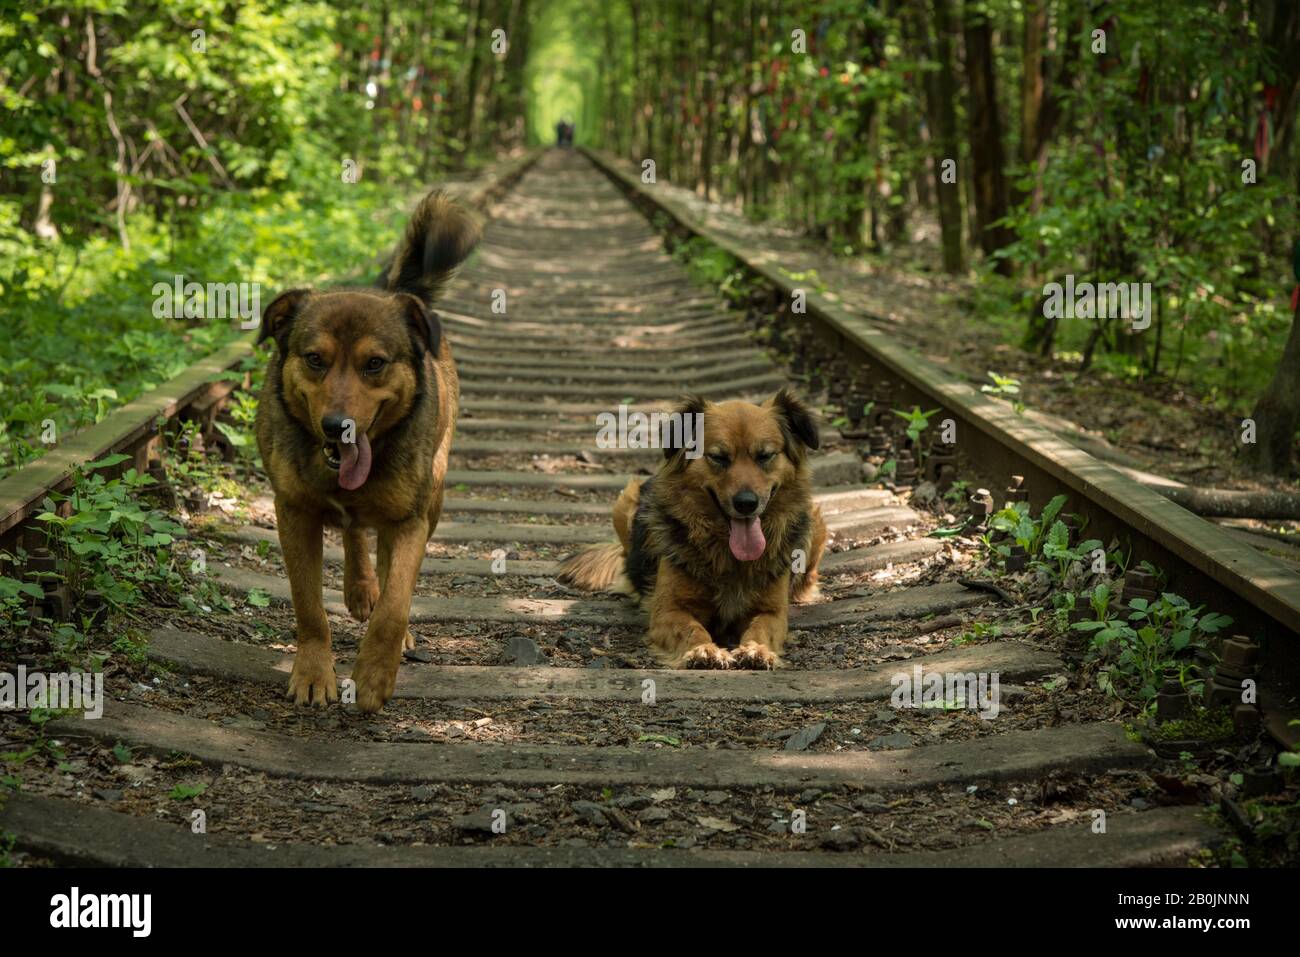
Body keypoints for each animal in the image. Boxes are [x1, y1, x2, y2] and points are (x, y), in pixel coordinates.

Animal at [256, 188, 480, 712]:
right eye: (314, 359)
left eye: (375, 364)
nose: (337, 427)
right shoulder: (294, 512)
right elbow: (308, 606)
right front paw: (314, 672)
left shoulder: (410, 521)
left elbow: (395, 605)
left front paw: (377, 672)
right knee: (355, 532)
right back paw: (359, 588)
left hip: (433, 495)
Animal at [556, 387, 821, 665]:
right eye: (718, 457)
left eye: (765, 456)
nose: (746, 504)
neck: (728, 555)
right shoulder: (668, 610)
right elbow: (691, 628)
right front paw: (703, 649)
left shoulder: (773, 612)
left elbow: (761, 628)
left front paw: (756, 650)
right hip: (626, 498)